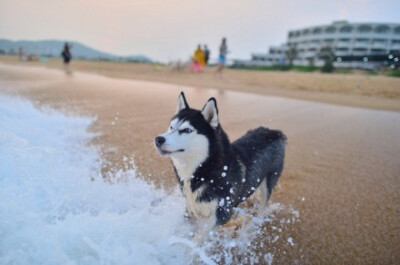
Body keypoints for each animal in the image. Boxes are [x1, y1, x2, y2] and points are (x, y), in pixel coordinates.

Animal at [155, 92, 286, 233]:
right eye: (171, 127)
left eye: (187, 130)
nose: (158, 139)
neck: (205, 168)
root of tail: (275, 132)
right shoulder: (190, 211)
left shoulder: (223, 213)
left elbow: (199, 236)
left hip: (269, 184)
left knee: (263, 207)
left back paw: (253, 225)